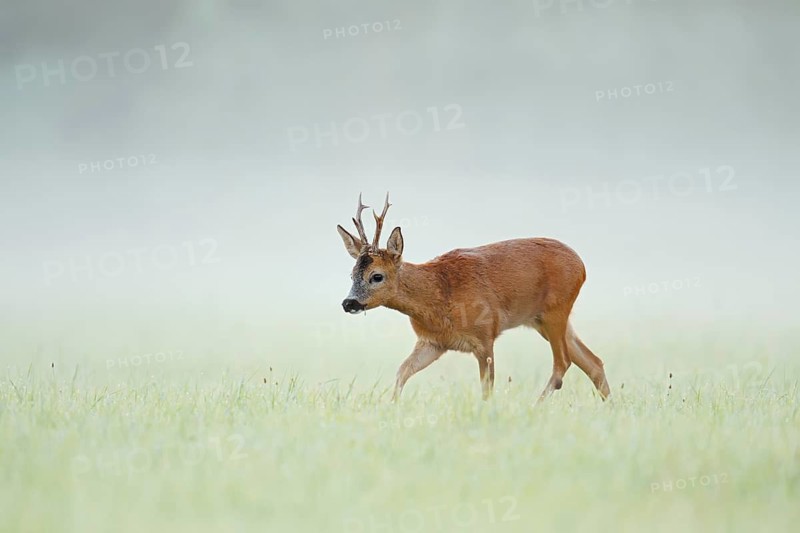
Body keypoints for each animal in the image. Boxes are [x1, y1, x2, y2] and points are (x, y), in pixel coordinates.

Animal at [336, 193, 611, 403]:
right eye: (351, 274)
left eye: (377, 276)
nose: (348, 303)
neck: (438, 293)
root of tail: (581, 265)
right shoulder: (432, 342)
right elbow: (401, 372)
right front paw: (391, 407)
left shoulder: (484, 335)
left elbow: (487, 388)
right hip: (542, 320)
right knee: (594, 362)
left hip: (556, 310)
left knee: (563, 363)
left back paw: (536, 406)